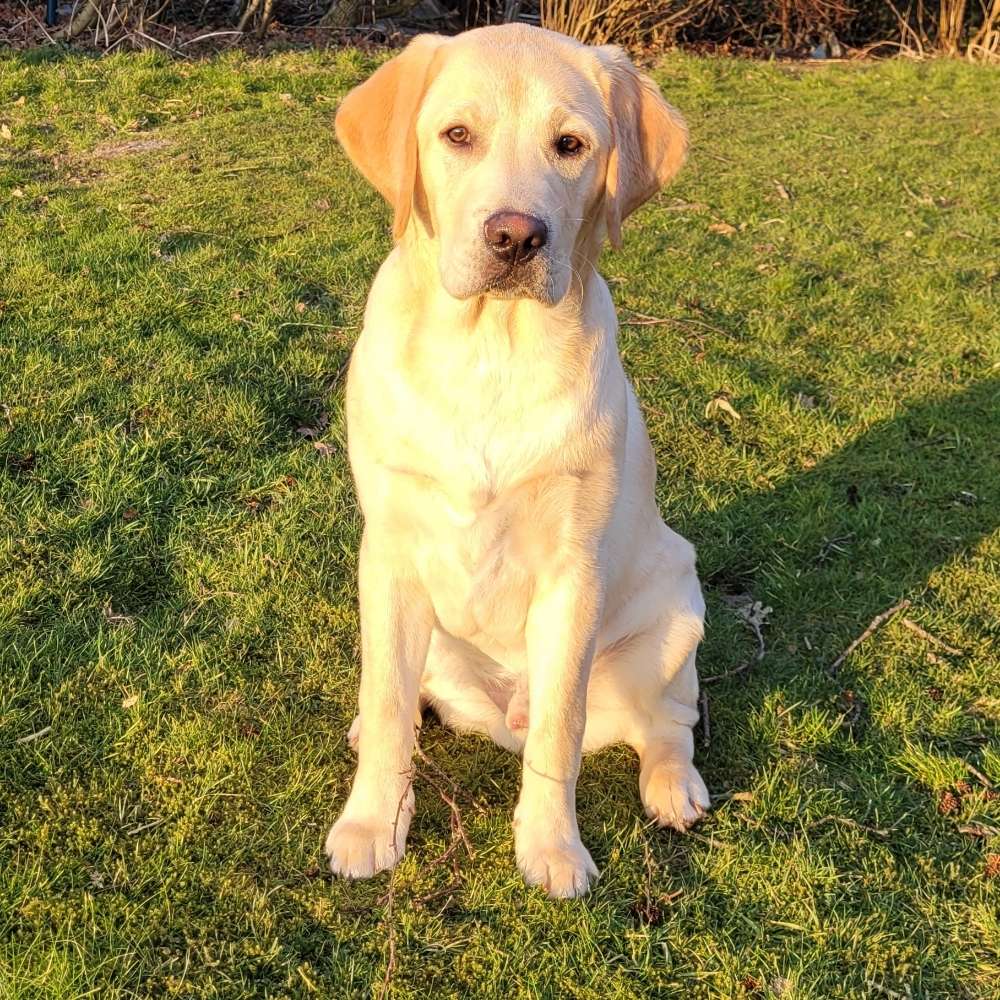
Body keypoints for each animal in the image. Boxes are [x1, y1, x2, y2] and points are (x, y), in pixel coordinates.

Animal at [324, 21, 708, 900]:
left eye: (570, 146)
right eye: (457, 135)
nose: (516, 237)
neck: (487, 348)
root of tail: (501, 708)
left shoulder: (573, 575)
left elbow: (560, 734)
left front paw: (553, 847)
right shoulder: (389, 550)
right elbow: (389, 703)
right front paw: (370, 825)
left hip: (678, 611)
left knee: (665, 722)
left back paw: (675, 788)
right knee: (403, 693)